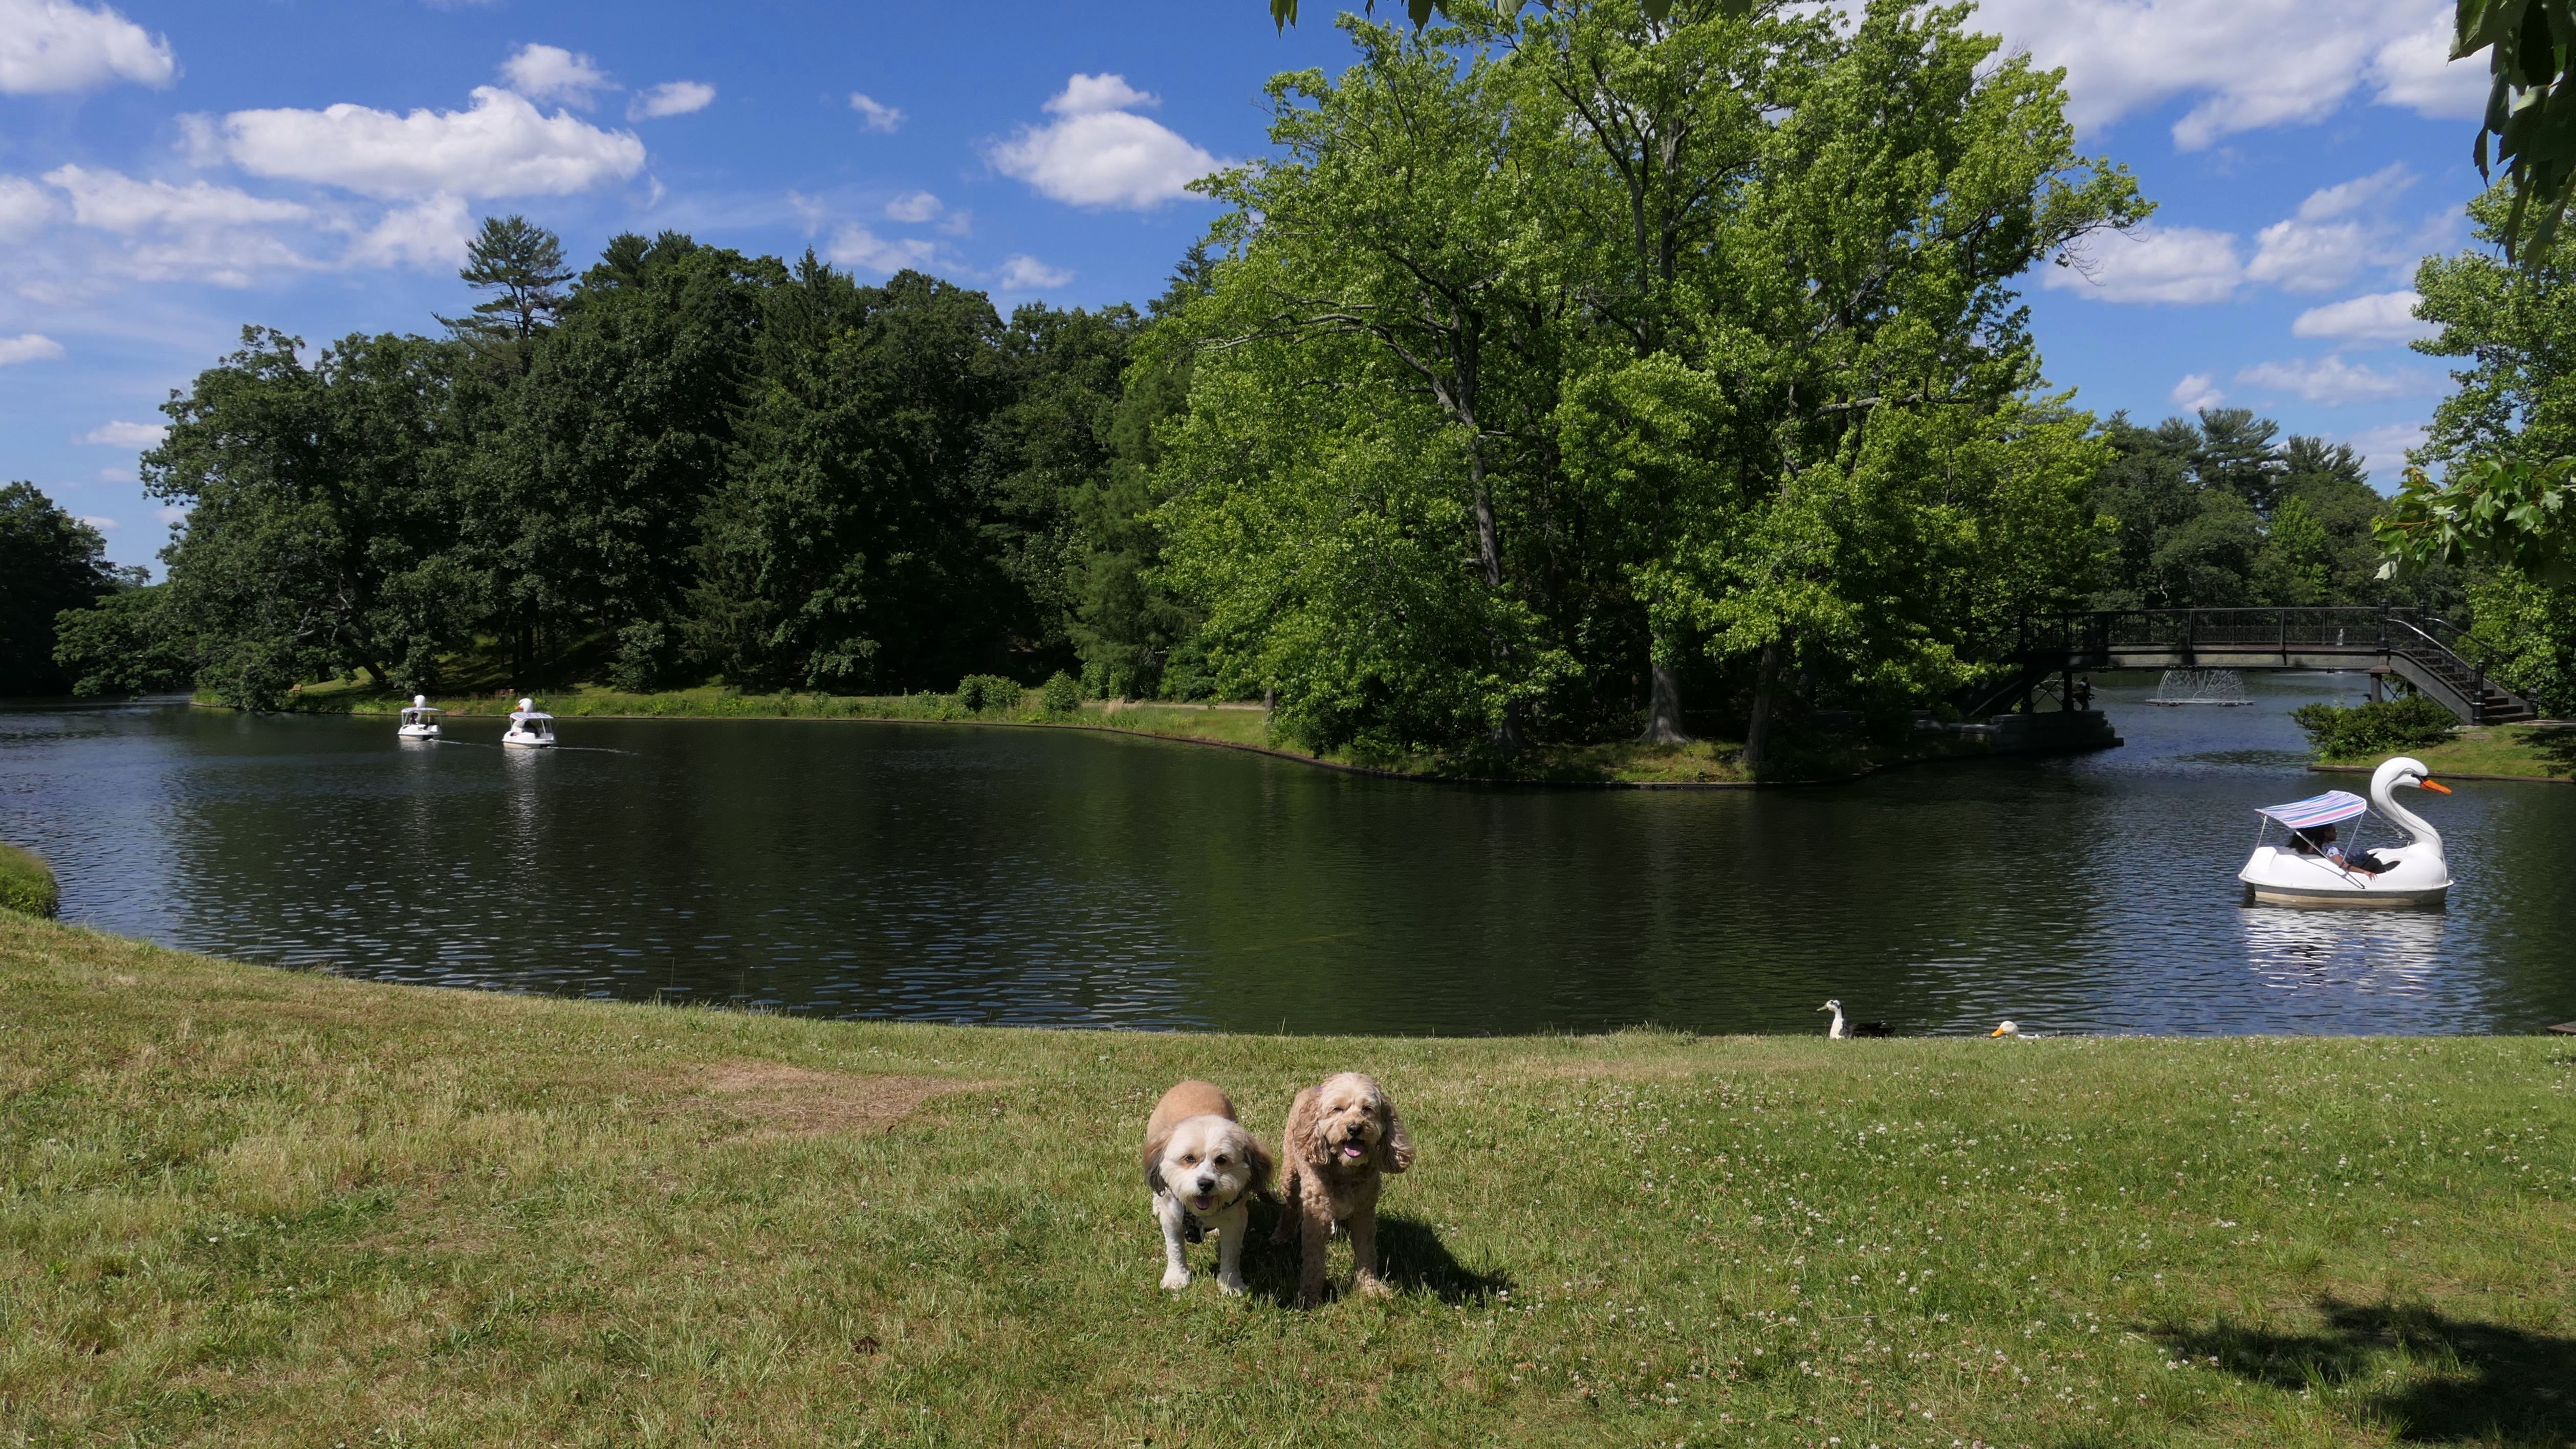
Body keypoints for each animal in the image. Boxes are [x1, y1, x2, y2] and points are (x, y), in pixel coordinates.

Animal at [1141, 1080, 1273, 1295]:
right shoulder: (1172, 1217)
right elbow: (1175, 1247)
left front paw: (1230, 1283)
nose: (1205, 1183)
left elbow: (1231, 1253)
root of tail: (1192, 1082)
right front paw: (1176, 1277)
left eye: (1222, 1160)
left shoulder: (1236, 1219)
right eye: (1189, 1158)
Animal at [1271, 1072, 1414, 1307]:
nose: (1354, 1128)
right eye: (1337, 1109)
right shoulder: (1317, 1214)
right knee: (1290, 1207)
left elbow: (1367, 1253)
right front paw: (1309, 1296)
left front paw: (1371, 1288)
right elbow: (1314, 1261)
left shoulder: (1364, 1213)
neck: (1345, 1170)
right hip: (1290, 1173)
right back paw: (1282, 1234)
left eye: (1367, 1109)